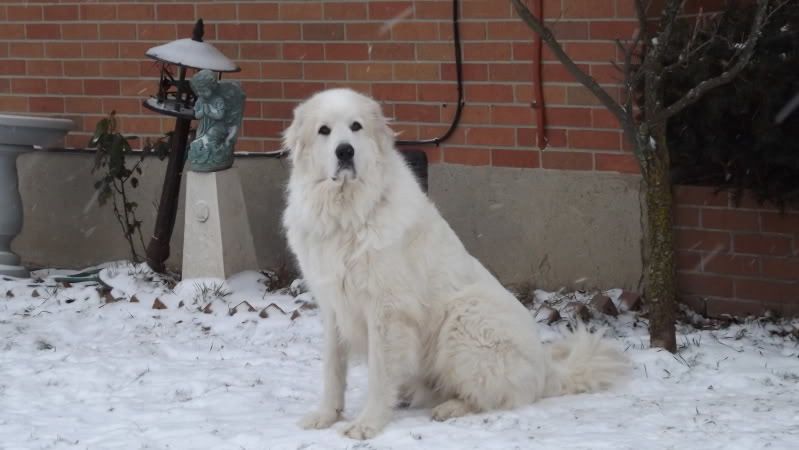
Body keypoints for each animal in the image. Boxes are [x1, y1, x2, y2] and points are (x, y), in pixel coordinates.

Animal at [282, 88, 628, 440]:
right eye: (324, 131)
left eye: (356, 126)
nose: (345, 151)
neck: (349, 212)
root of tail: (547, 371)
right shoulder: (332, 305)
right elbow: (332, 369)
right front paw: (326, 415)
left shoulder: (388, 311)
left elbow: (380, 375)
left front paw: (368, 423)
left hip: (464, 315)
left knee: (495, 396)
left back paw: (450, 407)